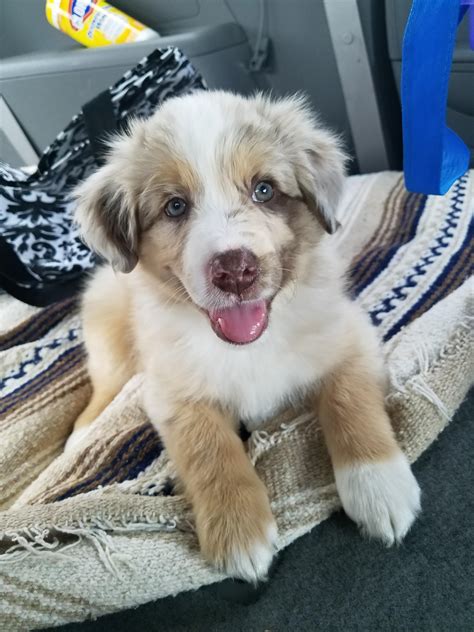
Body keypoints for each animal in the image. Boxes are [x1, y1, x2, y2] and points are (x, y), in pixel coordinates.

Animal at [69, 90, 418, 584]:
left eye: (264, 190)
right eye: (175, 206)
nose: (235, 271)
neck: (249, 346)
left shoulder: (350, 337)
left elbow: (350, 402)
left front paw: (379, 487)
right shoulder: (170, 390)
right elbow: (207, 446)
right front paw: (238, 530)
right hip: (112, 344)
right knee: (99, 397)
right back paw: (82, 437)